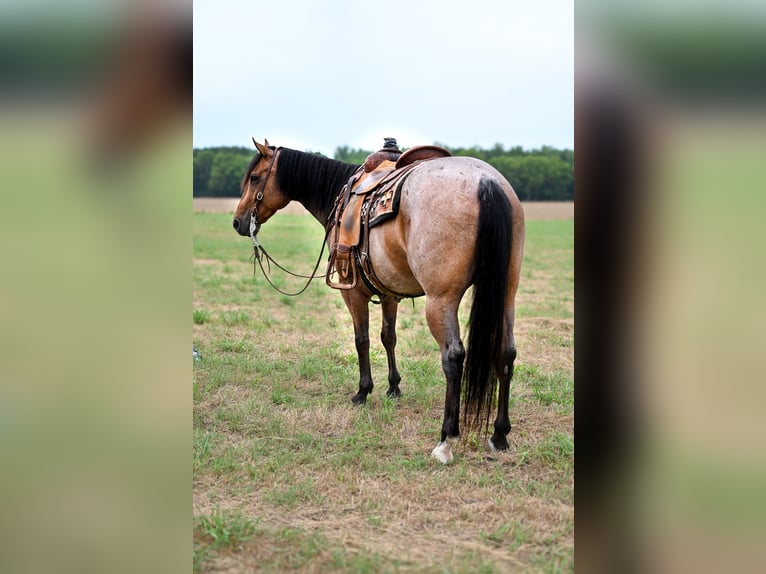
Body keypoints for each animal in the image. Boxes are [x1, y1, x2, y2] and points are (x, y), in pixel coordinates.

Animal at [231, 141, 524, 468]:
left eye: (255, 177)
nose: (238, 221)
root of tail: (486, 182)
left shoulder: (353, 292)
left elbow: (362, 340)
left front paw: (363, 391)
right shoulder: (388, 292)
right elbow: (388, 337)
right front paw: (394, 386)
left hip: (441, 300)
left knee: (453, 357)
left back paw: (446, 440)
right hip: (507, 293)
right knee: (506, 353)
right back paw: (499, 435)